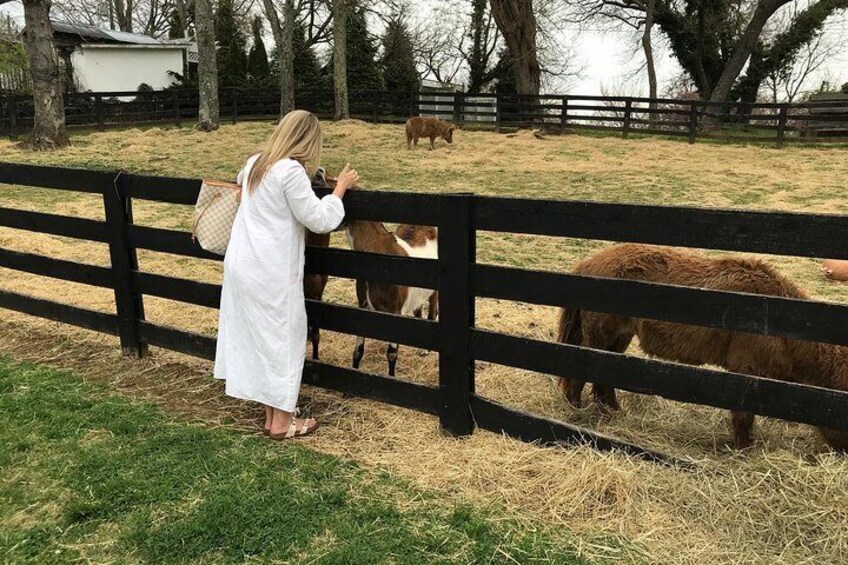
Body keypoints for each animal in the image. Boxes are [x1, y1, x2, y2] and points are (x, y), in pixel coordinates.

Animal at [556, 242, 848, 450]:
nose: (842, 453)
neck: (779, 320)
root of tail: (587, 264)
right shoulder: (746, 370)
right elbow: (743, 415)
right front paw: (743, 448)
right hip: (599, 336)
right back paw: (575, 409)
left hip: (619, 338)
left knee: (605, 374)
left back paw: (611, 411)